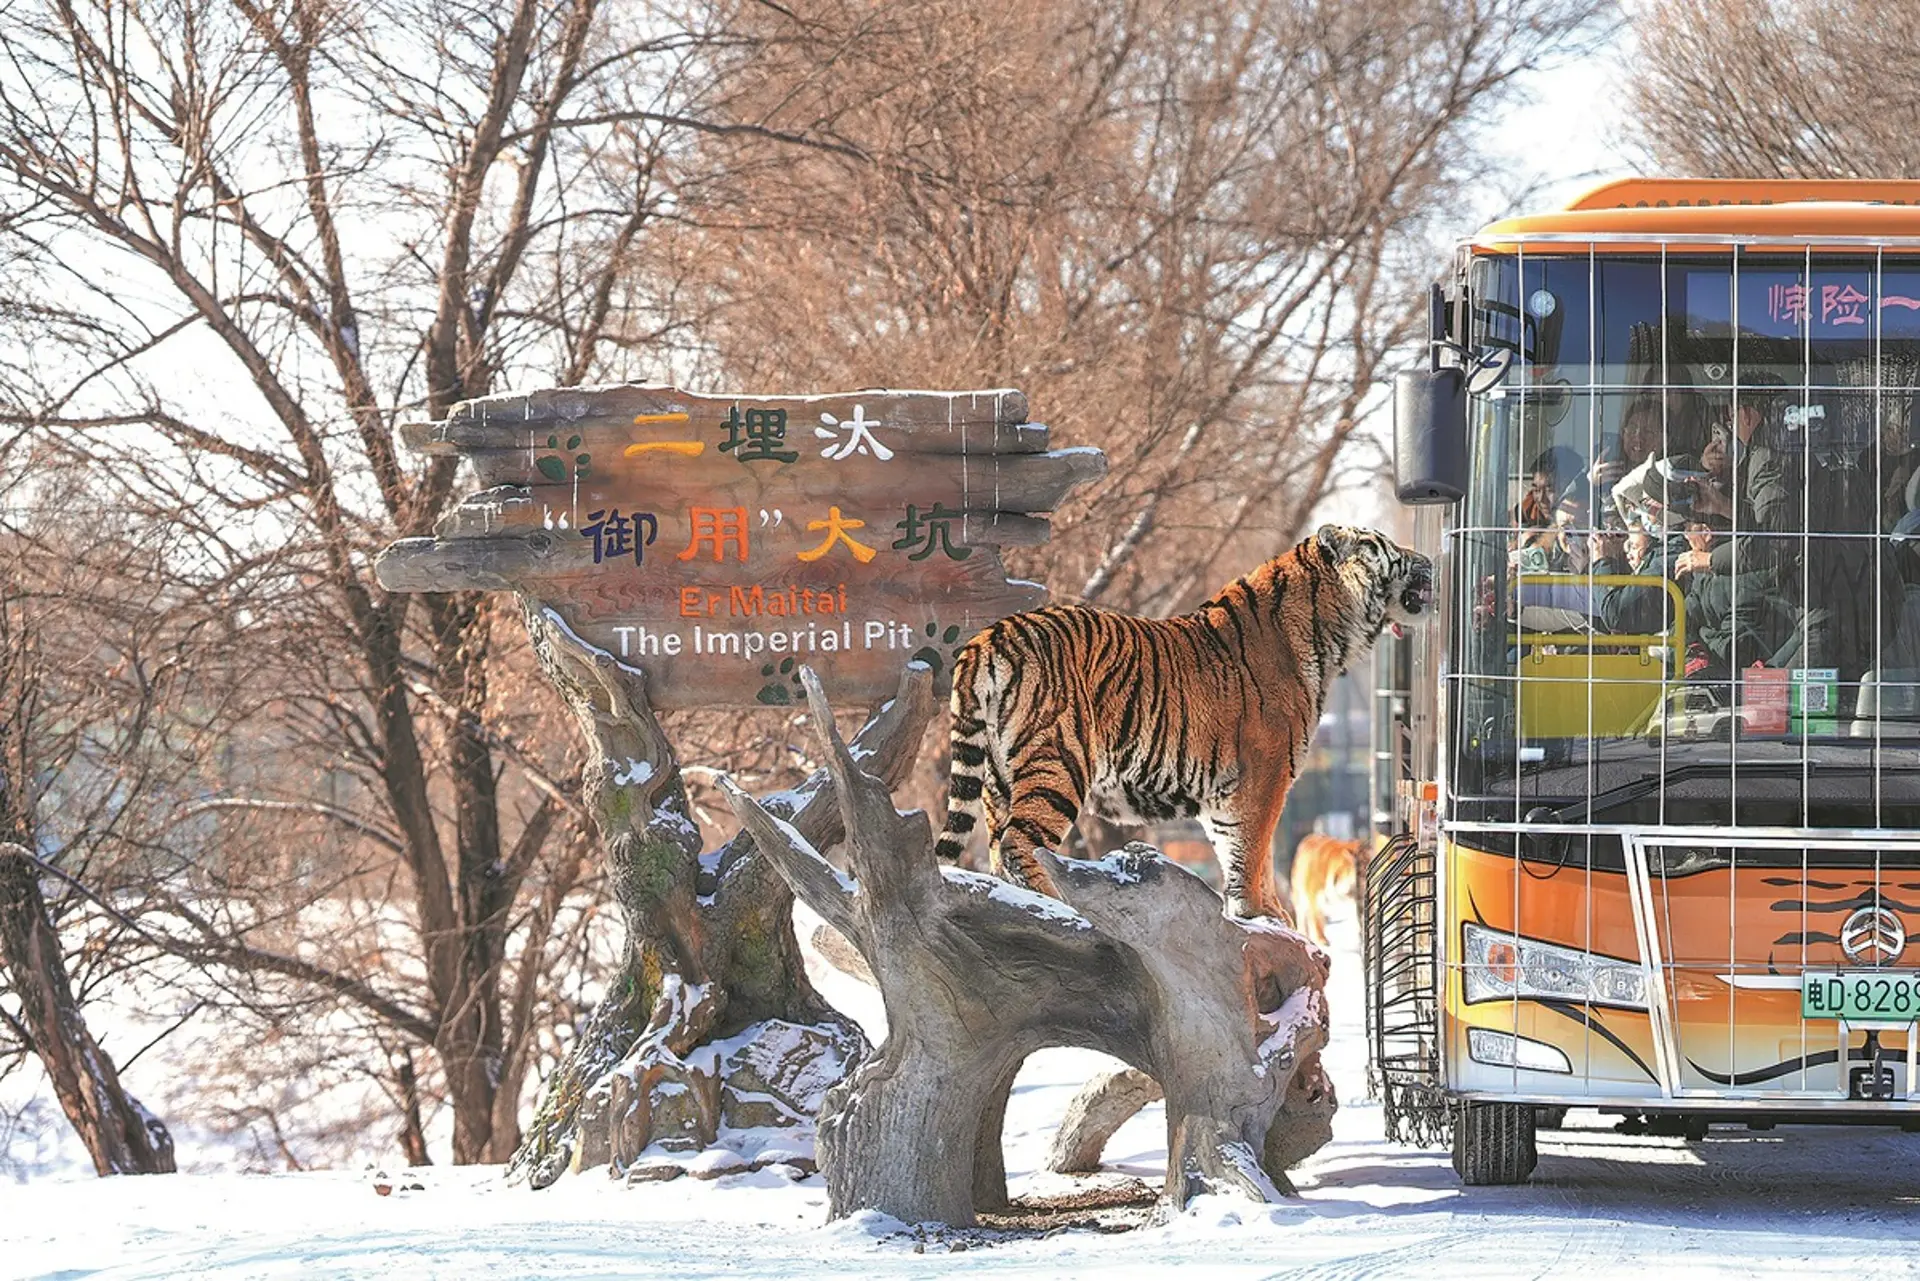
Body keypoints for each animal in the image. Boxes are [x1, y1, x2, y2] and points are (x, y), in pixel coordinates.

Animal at [934, 524, 1432, 920]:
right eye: (1386, 545)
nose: (1427, 559)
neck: (1328, 635)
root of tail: (986, 637)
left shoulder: (1227, 792)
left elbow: (1241, 852)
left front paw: (1263, 915)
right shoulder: (1265, 773)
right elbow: (1255, 851)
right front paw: (1258, 914)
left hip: (997, 781)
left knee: (997, 851)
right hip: (1057, 762)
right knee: (1018, 845)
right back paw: (1058, 906)